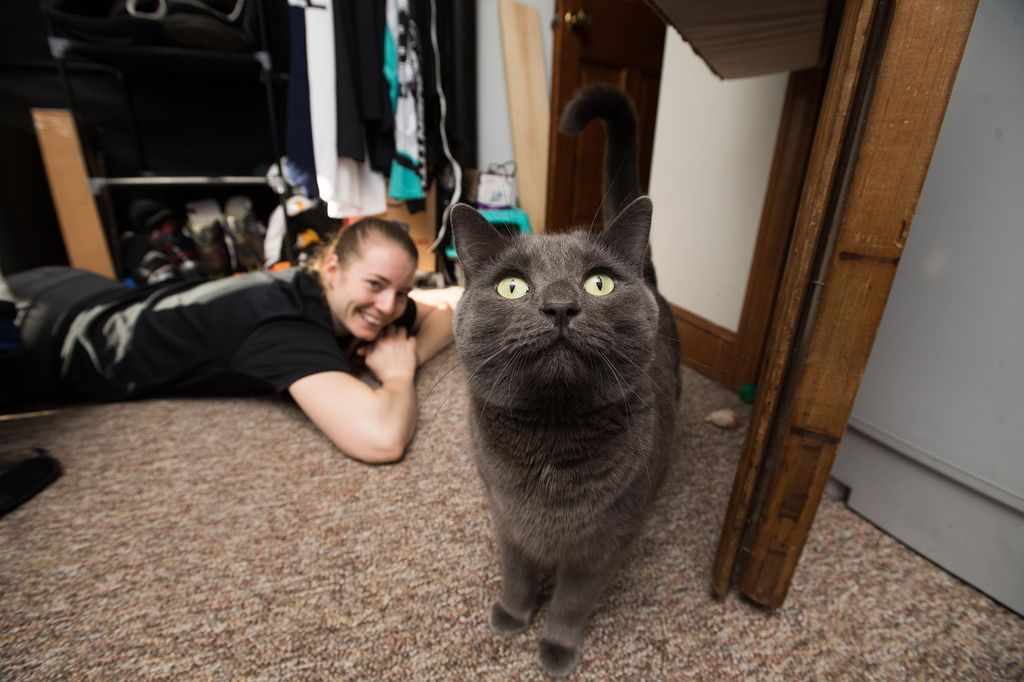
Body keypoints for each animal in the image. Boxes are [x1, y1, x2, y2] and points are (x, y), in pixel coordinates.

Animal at [454, 86, 679, 675]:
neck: (549, 446)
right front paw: (511, 616)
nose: (559, 306)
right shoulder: (507, 521)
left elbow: (573, 602)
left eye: (598, 283)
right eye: (512, 286)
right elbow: (517, 575)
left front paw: (555, 647)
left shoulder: (603, 543)